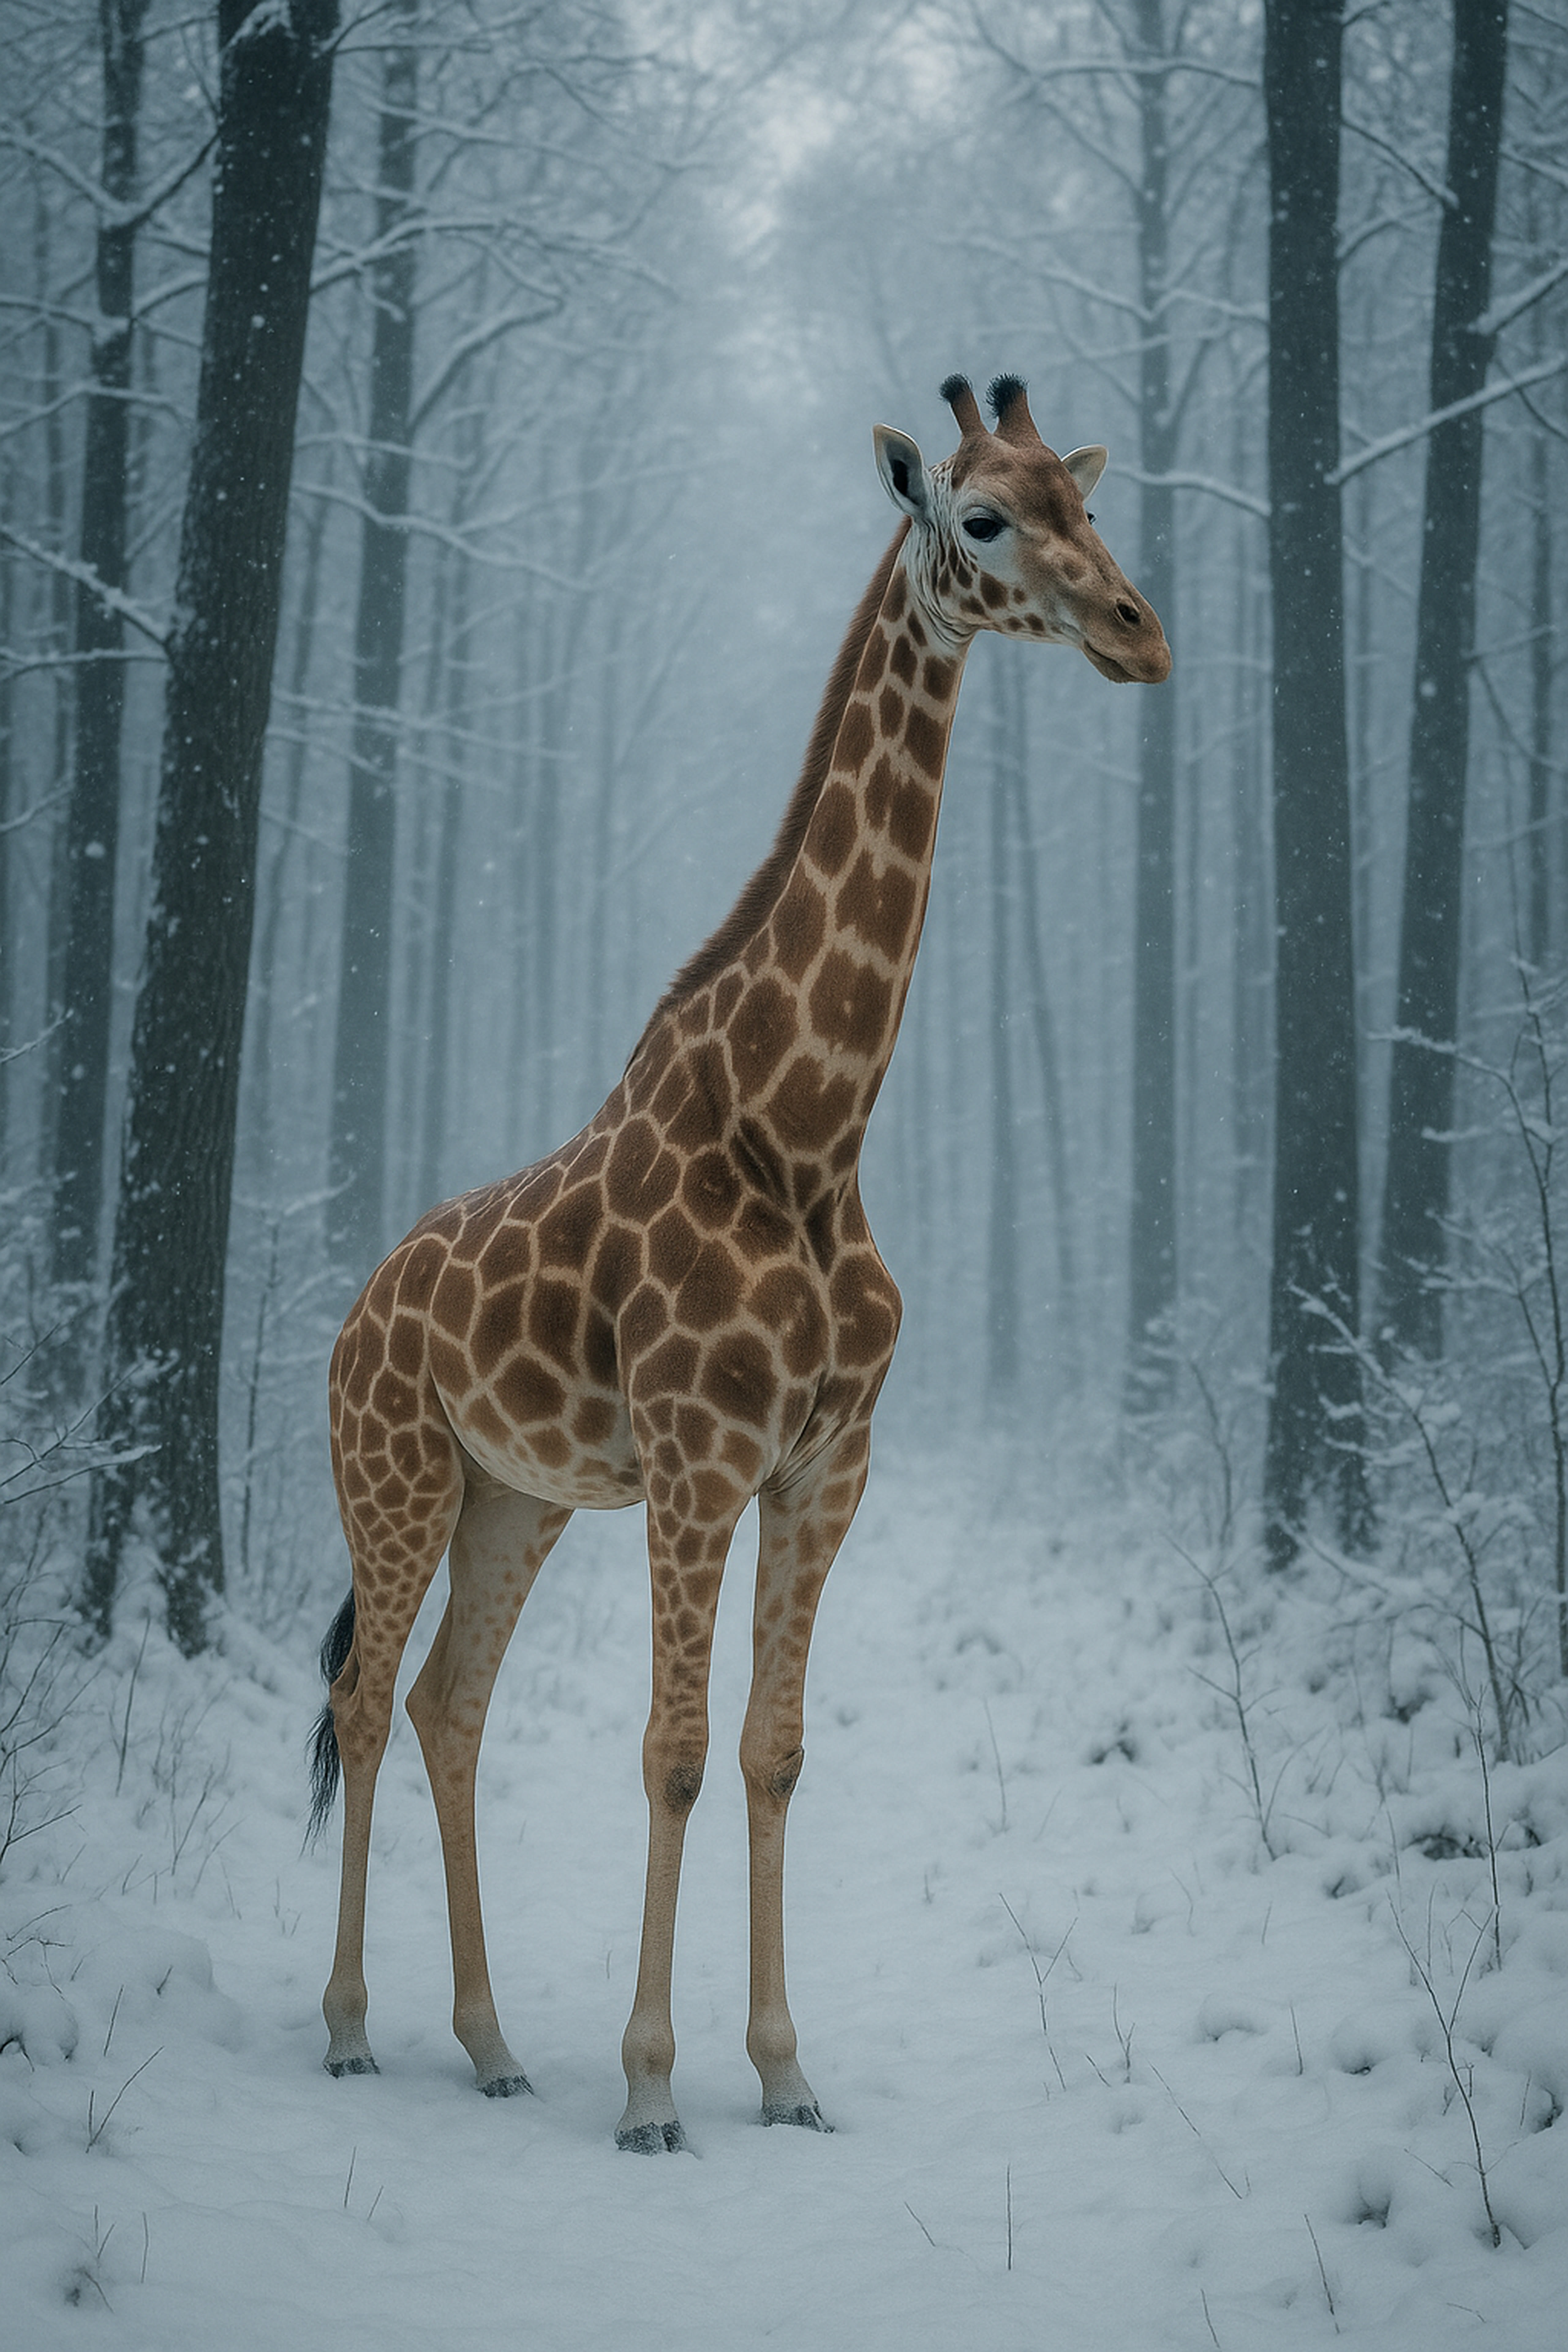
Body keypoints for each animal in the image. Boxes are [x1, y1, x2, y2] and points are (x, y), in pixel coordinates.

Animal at [310, 372, 1170, 2152]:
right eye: (983, 516)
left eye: (1091, 501)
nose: (1142, 634)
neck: (812, 1128)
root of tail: (349, 1320)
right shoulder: (704, 1457)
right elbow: (677, 1749)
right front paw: (651, 2089)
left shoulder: (828, 1462)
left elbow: (773, 1752)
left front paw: (785, 2072)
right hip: (394, 1475)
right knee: (365, 1701)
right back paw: (351, 2029)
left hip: (516, 1498)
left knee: (446, 1705)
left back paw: (491, 2045)